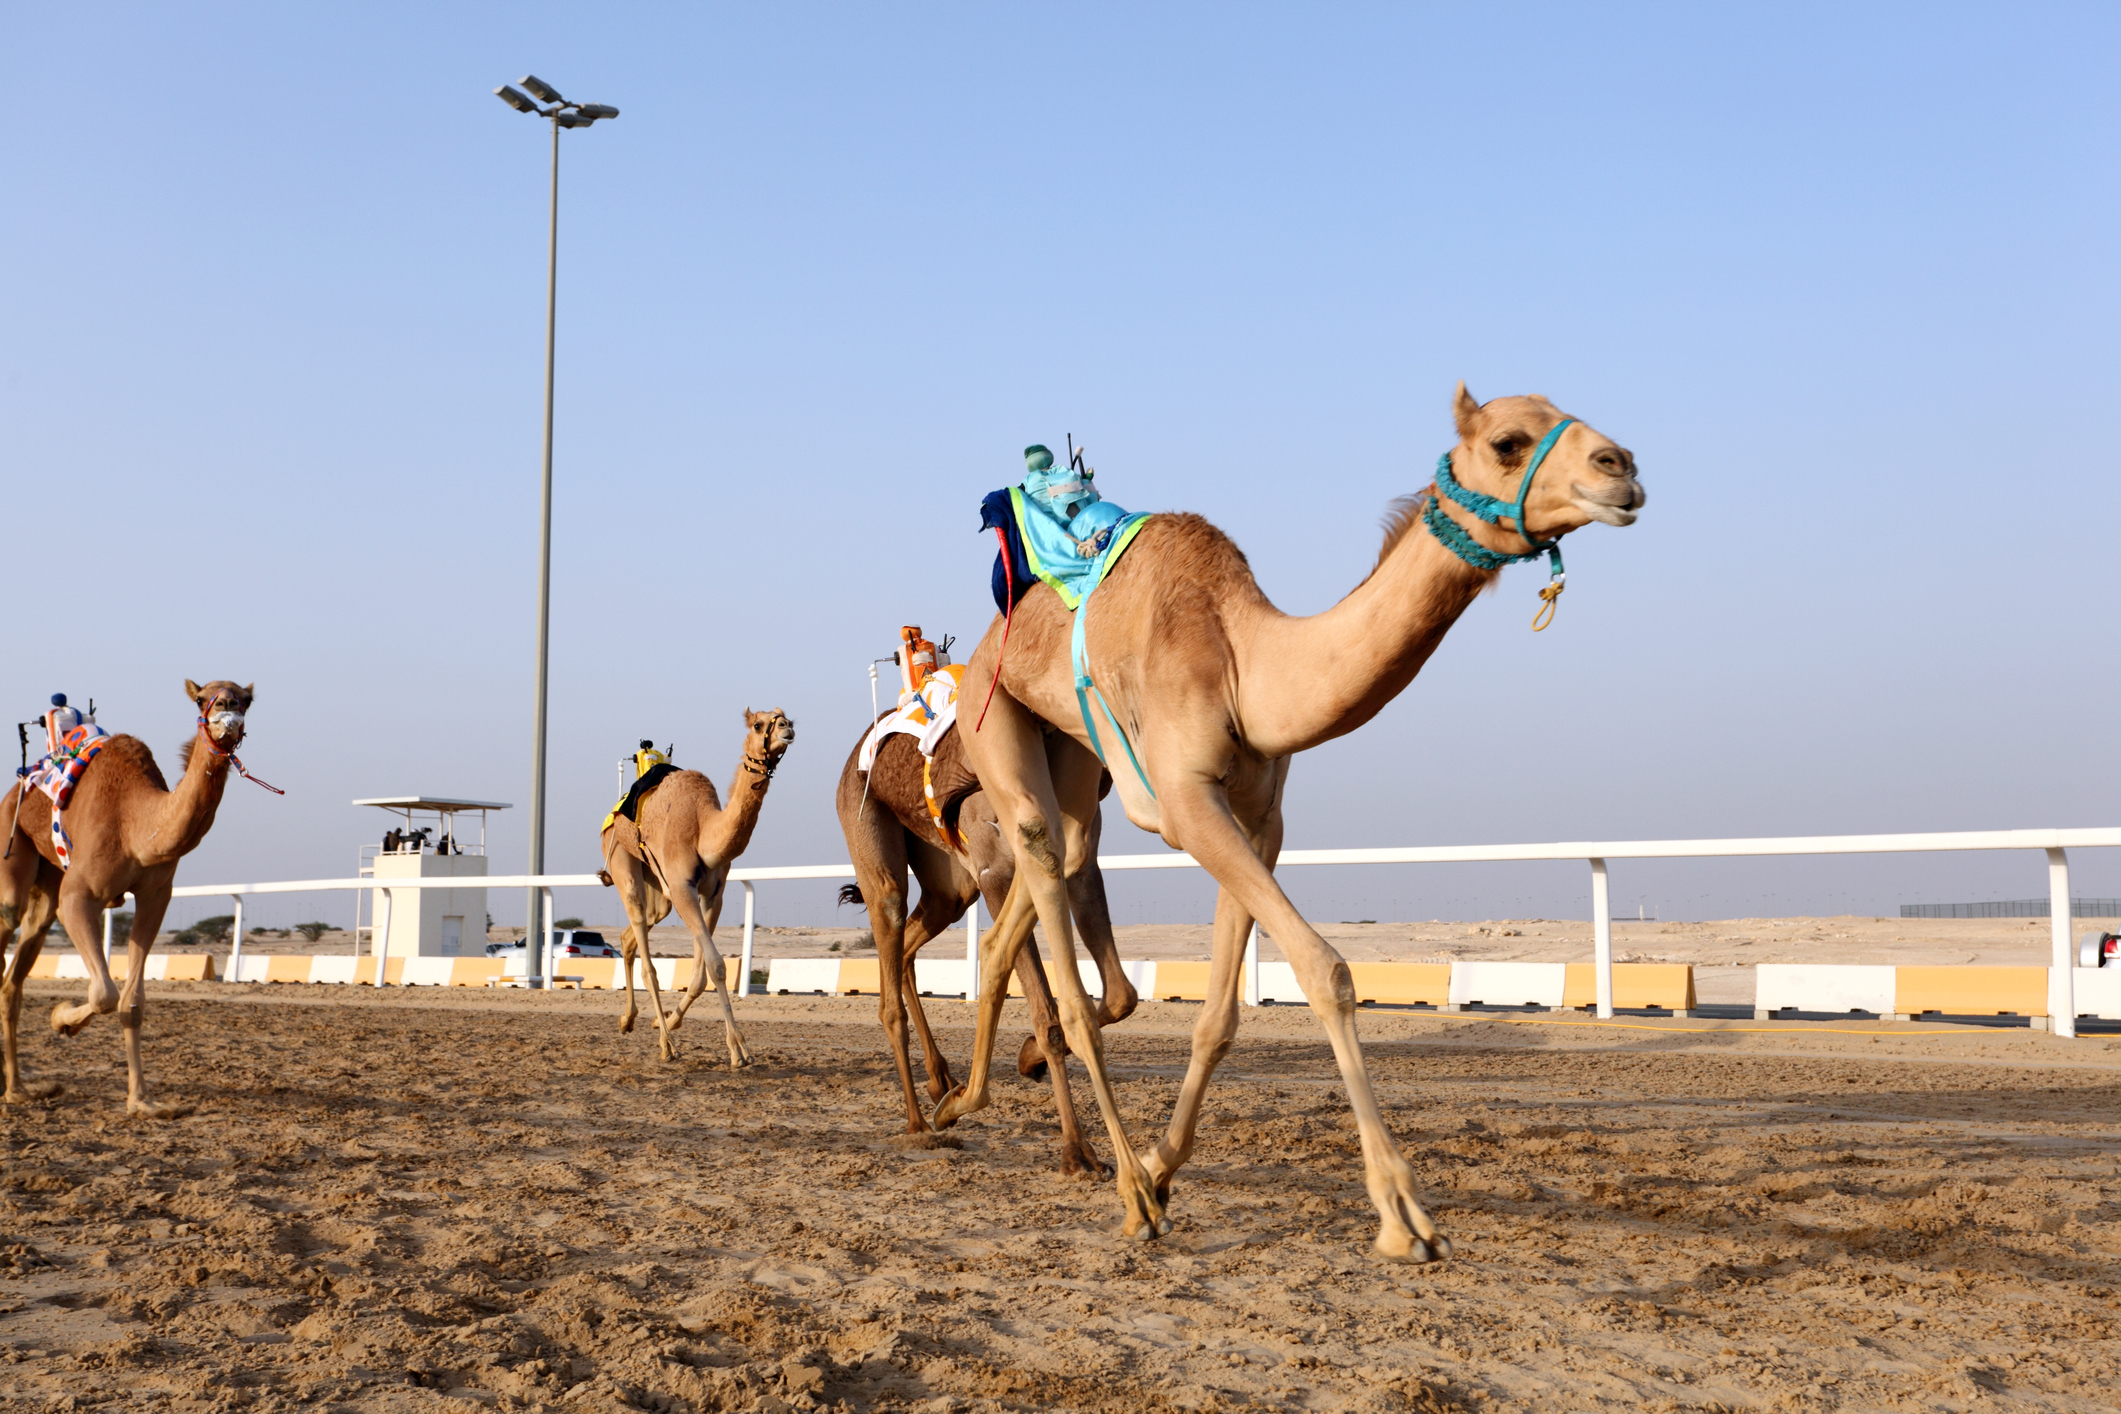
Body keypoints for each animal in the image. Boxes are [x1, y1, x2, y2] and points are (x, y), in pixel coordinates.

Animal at [0, 678, 261, 1119]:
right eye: (201, 698)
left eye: (246, 699)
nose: (226, 707)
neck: (136, 825)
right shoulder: (79, 895)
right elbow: (103, 994)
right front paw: (61, 1019)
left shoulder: (156, 895)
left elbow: (131, 1001)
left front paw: (143, 1101)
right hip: (12, 846)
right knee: (9, 913)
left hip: (48, 887)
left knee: (14, 976)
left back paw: (20, 1090)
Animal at [598, 712, 797, 1068]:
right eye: (759, 725)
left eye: (786, 716)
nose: (787, 728)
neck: (705, 829)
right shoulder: (682, 889)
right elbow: (716, 965)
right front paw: (738, 1049)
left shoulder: (712, 894)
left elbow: (703, 973)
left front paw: (665, 1020)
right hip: (621, 858)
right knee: (646, 957)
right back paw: (667, 1045)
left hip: (658, 891)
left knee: (629, 937)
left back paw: (628, 1020)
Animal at [827, 725, 1136, 1178]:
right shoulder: (997, 874)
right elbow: (1046, 1015)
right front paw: (1077, 1153)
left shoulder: (1077, 862)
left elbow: (1119, 995)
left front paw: (1028, 1059)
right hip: (872, 834)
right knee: (890, 938)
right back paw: (919, 1122)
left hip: (950, 887)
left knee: (908, 950)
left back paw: (940, 1082)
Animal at [945, 387, 1654, 1263]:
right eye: (1508, 442)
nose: (1620, 468)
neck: (1244, 662)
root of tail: (986, 639)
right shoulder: (1187, 803)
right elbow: (1326, 971)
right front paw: (1401, 1214)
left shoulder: (1258, 819)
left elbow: (1218, 1017)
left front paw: (1165, 1166)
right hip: (991, 710)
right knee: (1048, 885)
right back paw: (1123, 1188)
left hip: (1072, 748)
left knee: (1055, 863)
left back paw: (966, 1098)